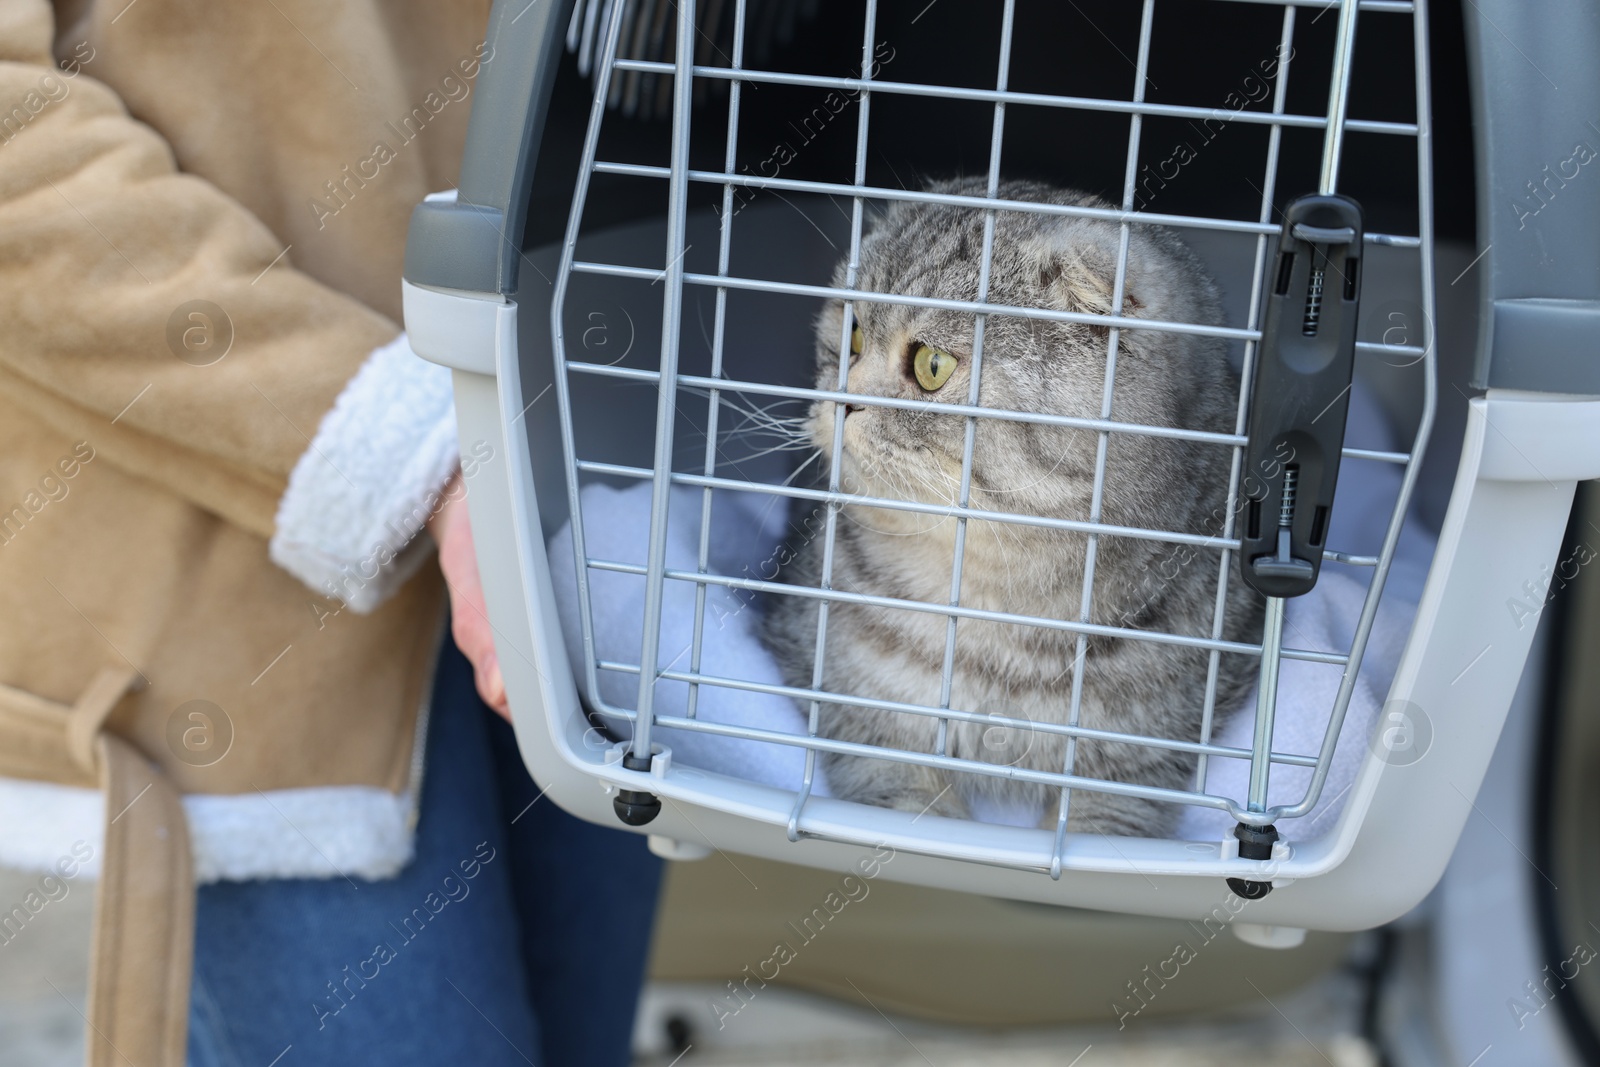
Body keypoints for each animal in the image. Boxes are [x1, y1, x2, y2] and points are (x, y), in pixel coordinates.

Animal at [758, 177, 1260, 844]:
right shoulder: (857, 714)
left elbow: (1104, 824)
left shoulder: (1139, 762)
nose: (836, 401)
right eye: (854, 335)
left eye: (932, 366)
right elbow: (900, 804)